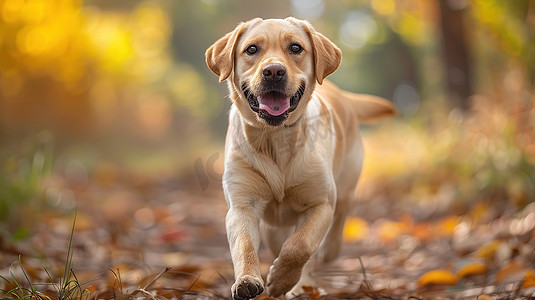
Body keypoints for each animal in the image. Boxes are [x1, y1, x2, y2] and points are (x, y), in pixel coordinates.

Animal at [207, 17, 396, 298]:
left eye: (295, 48)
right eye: (251, 49)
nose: (274, 71)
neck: (275, 139)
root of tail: (342, 95)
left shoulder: (320, 204)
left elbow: (300, 246)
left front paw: (281, 280)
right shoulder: (242, 205)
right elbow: (244, 246)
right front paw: (247, 281)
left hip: (346, 188)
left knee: (333, 230)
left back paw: (314, 267)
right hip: (273, 227)